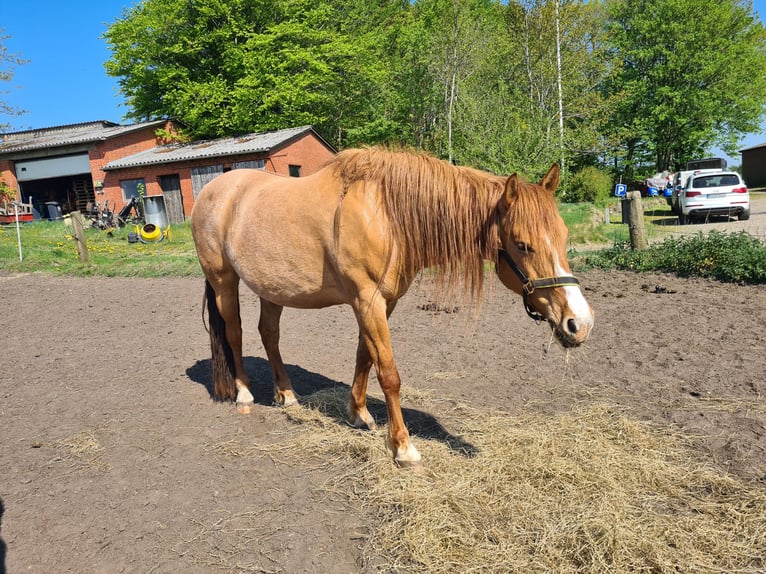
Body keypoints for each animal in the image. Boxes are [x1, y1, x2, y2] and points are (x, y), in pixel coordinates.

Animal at [191, 147, 594, 467]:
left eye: (563, 235)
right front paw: (402, 447)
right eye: (523, 245)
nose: (580, 323)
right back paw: (244, 394)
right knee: (235, 333)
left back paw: (287, 395)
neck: (386, 213)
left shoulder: (381, 303)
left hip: (272, 289)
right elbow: (389, 373)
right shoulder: (366, 300)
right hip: (224, 280)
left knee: (269, 334)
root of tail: (213, 191)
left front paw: (358, 415)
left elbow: (365, 358)